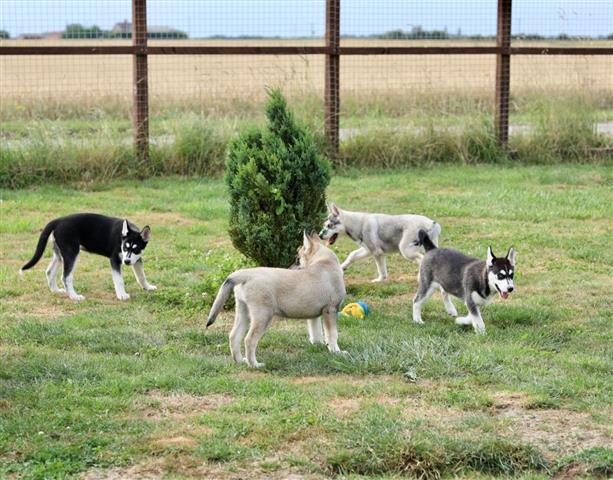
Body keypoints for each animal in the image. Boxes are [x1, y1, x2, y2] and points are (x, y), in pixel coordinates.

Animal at [20, 214, 157, 300]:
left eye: (136, 249)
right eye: (124, 248)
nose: (127, 261)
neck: (121, 237)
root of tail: (58, 220)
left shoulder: (137, 259)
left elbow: (141, 276)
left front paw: (148, 287)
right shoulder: (114, 260)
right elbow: (119, 280)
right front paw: (122, 295)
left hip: (59, 255)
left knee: (49, 272)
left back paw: (56, 290)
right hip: (71, 253)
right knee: (65, 277)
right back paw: (74, 296)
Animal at [206, 234, 346, 370]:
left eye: (297, 260)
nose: (289, 268)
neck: (324, 261)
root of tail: (246, 274)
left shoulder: (314, 316)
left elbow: (316, 332)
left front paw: (319, 346)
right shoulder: (330, 309)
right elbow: (332, 334)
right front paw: (336, 352)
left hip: (243, 311)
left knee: (234, 336)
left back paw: (241, 361)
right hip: (263, 316)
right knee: (249, 340)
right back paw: (255, 365)